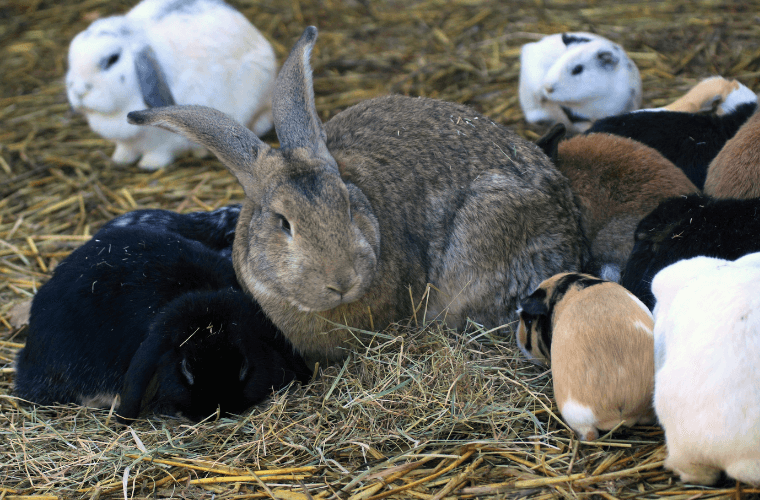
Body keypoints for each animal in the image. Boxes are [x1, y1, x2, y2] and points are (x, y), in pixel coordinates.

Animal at [65, 0, 276, 169]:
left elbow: (160, 152)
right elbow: (125, 150)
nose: (79, 91)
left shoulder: (167, 139)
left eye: (112, 59)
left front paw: (149, 164)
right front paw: (120, 160)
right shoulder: (126, 142)